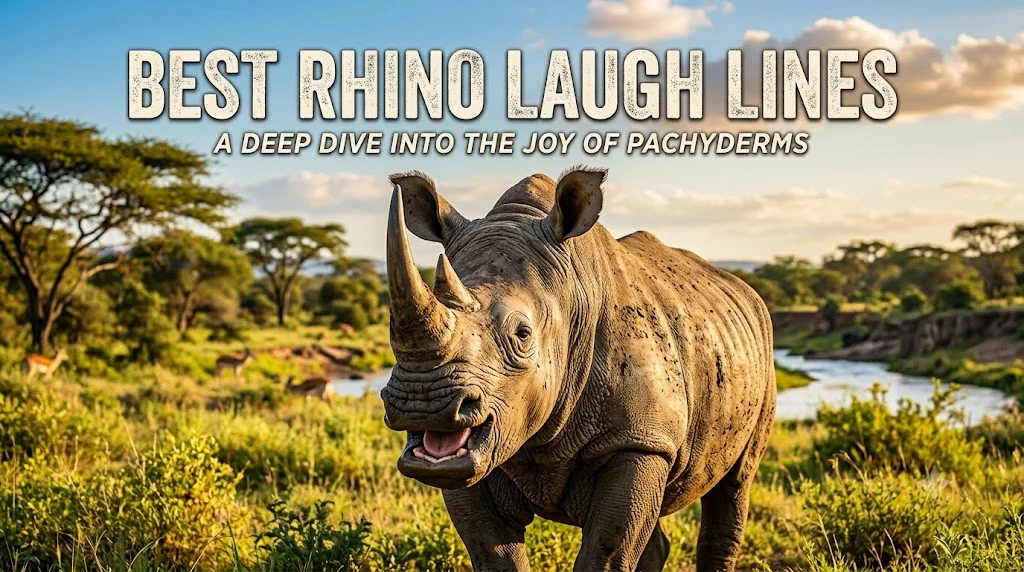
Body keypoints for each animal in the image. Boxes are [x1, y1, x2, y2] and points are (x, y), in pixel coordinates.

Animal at [381, 167, 776, 571]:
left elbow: (606, 553)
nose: (423, 403)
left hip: (760, 354)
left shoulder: (638, 440)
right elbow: (493, 554)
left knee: (735, 483)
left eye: (522, 334)